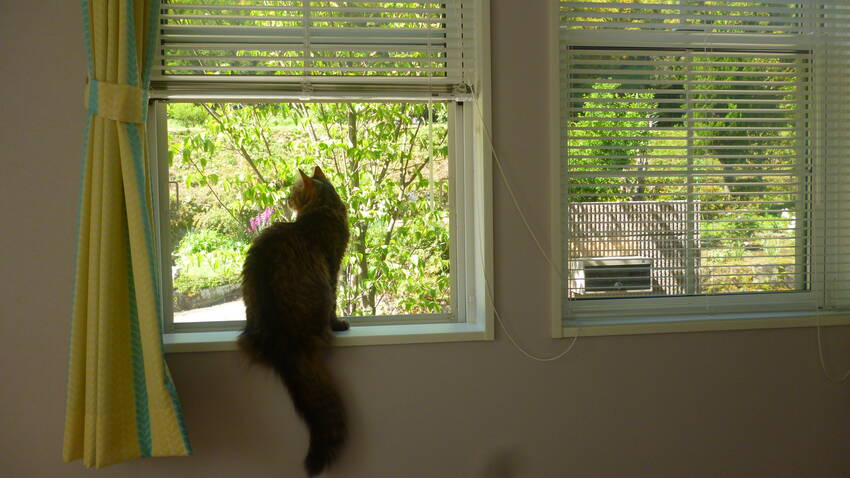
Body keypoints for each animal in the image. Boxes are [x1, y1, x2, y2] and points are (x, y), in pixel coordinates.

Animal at [237, 166, 350, 476]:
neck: (323, 209)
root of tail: (282, 342)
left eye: (292, 192)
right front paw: (339, 323)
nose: (287, 201)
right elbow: (335, 302)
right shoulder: (332, 268)